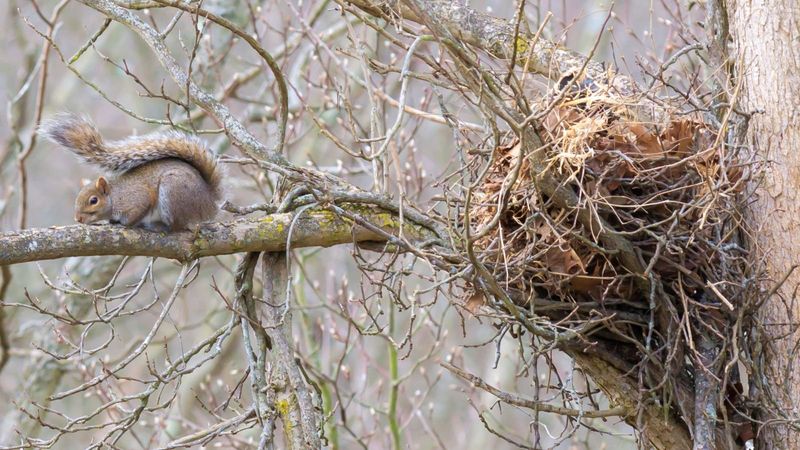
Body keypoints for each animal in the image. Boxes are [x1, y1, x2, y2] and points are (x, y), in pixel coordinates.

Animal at [40, 114, 224, 232]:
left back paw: (158, 226)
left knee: (177, 226)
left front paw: (124, 224)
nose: (78, 219)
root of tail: (209, 201)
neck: (115, 195)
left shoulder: (137, 200)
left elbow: (136, 213)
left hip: (173, 191)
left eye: (94, 200)